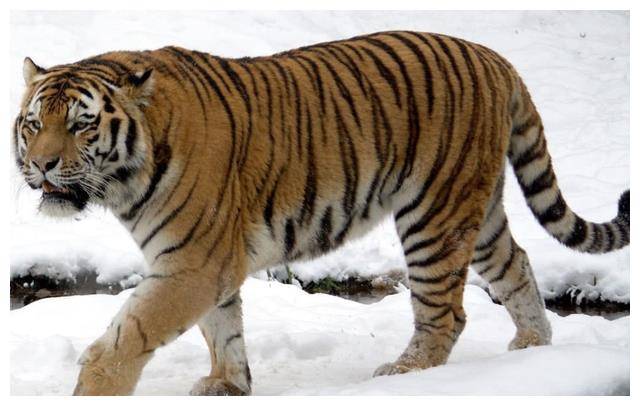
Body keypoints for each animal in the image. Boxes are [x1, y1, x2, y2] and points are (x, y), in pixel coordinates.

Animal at [14, 30, 630, 395]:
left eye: (82, 124)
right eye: (34, 124)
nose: (42, 165)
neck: (125, 181)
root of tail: (495, 57)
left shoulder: (193, 262)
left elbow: (127, 337)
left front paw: (93, 392)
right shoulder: (206, 262)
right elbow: (222, 329)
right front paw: (228, 385)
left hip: (433, 215)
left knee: (447, 312)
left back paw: (405, 377)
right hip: (474, 212)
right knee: (517, 263)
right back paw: (531, 351)